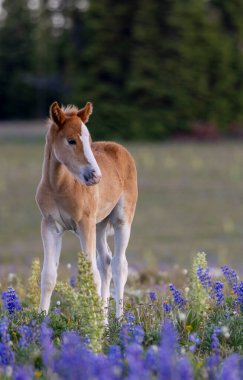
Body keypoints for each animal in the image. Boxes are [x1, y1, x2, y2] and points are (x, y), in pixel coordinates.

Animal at [36, 101, 139, 318]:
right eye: (71, 140)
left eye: (89, 140)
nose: (95, 176)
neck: (59, 186)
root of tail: (119, 147)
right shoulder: (50, 225)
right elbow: (48, 275)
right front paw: (40, 319)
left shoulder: (84, 224)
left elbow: (91, 275)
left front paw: (93, 323)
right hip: (99, 225)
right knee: (105, 263)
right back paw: (105, 320)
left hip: (121, 219)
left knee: (119, 265)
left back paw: (120, 320)